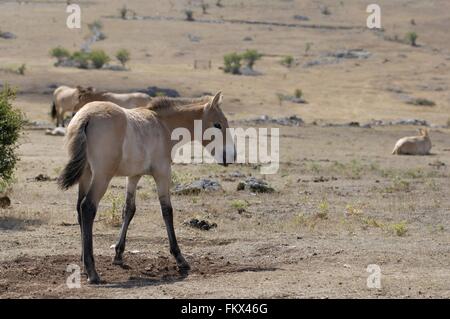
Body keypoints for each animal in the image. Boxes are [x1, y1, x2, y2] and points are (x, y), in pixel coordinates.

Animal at [57, 91, 236, 284]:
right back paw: (92, 272)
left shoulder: (133, 176)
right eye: (217, 124)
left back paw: (84, 265)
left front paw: (118, 254)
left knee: (79, 209)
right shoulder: (162, 173)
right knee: (87, 208)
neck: (163, 125)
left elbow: (129, 209)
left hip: (86, 175)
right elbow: (167, 211)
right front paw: (180, 258)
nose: (231, 156)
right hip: (102, 176)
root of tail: (86, 116)